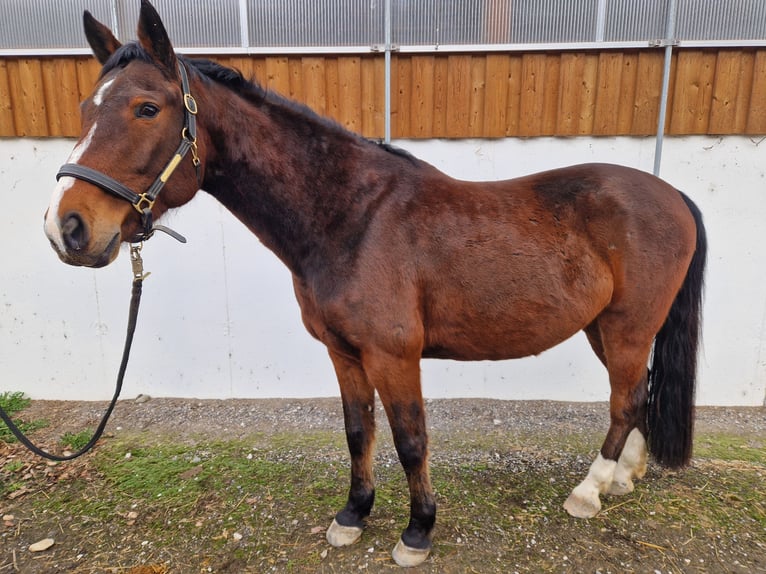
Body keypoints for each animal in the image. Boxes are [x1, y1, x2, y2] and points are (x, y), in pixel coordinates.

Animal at [43, 1, 706, 567]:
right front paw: (353, 515)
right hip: (605, 328)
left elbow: (411, 439)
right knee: (636, 394)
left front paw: (417, 531)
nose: (66, 228)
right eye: (84, 110)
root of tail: (671, 194)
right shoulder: (344, 353)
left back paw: (589, 491)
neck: (351, 217)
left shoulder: (394, 355)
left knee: (624, 400)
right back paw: (623, 479)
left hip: (626, 326)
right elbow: (357, 430)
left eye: (146, 109)